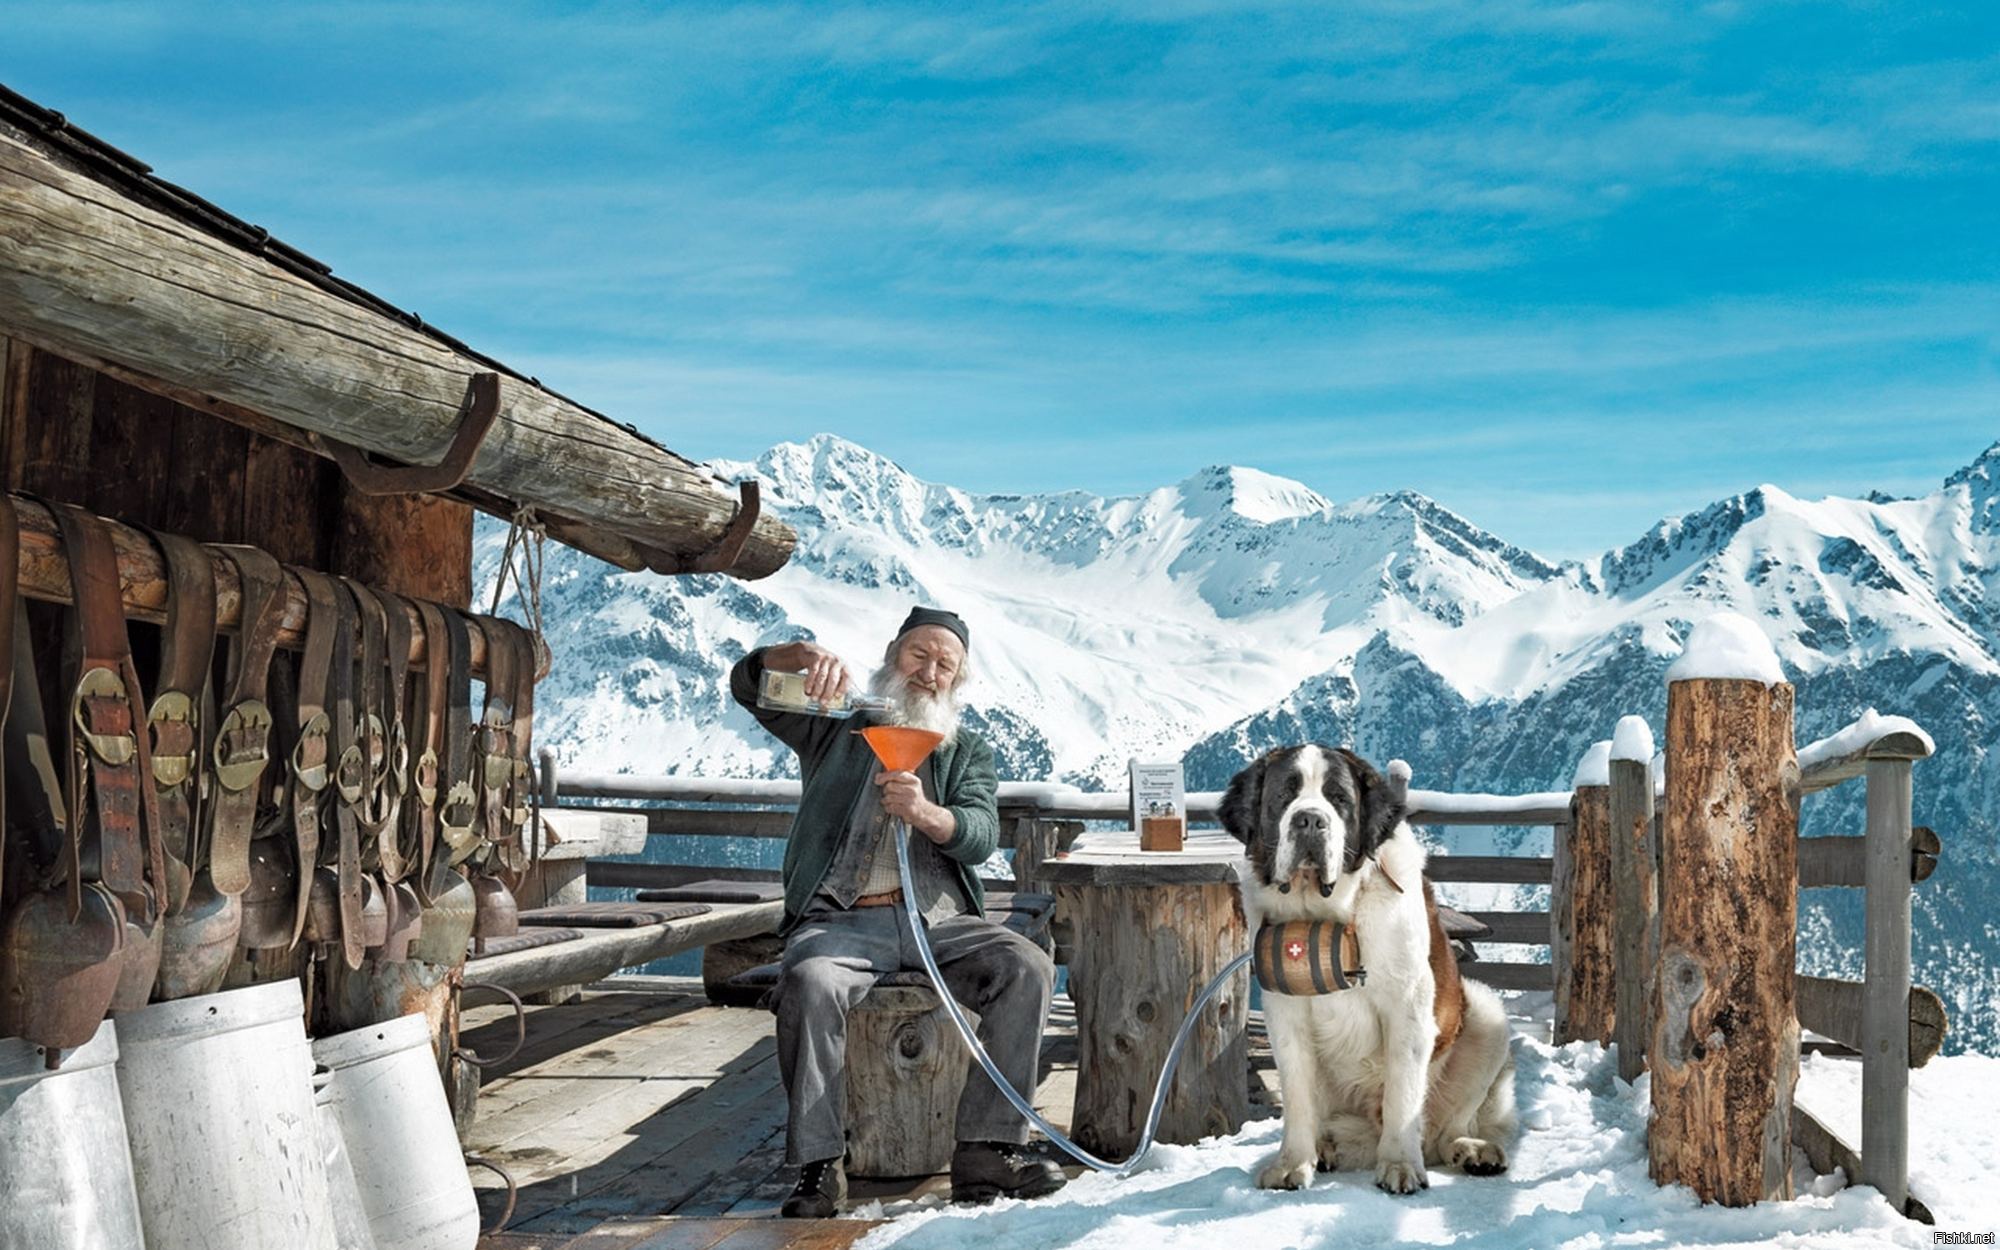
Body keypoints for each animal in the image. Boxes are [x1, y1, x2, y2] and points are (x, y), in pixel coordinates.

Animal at [1216, 740, 1512, 1192]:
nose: (1309, 820)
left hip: (1485, 1013)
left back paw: (1471, 1151)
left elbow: (1402, 1095)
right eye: (1284, 794)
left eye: (1339, 799)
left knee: (1442, 1133)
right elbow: (1296, 1095)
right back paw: (1325, 1149)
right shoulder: (1284, 1009)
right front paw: (1293, 1164)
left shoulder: (1408, 1006)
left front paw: (1400, 1166)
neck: (1330, 912)